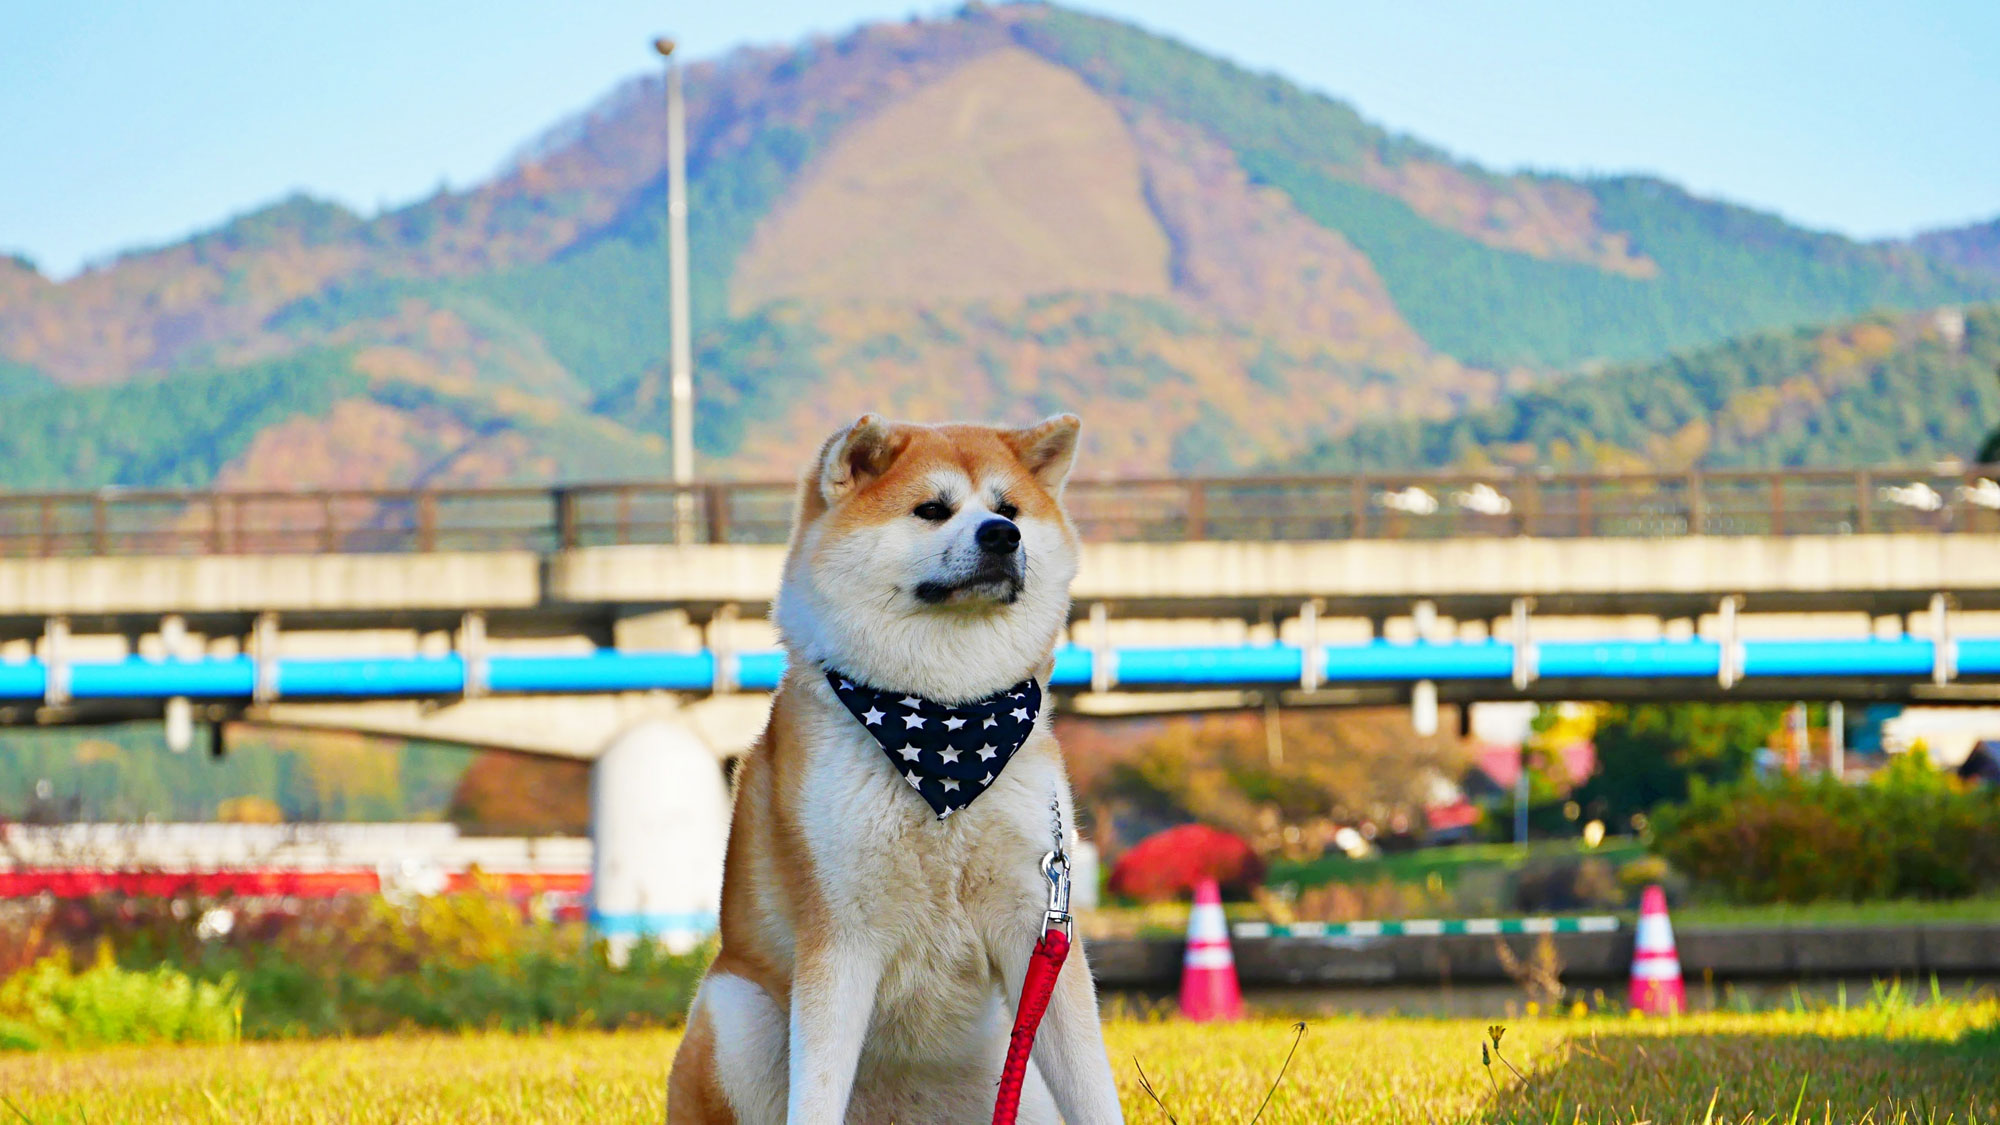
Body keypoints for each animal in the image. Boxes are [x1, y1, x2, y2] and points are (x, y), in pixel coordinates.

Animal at [668, 414, 1128, 1120]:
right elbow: (817, 1096)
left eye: (1009, 510)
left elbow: (1094, 1088)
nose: (1003, 536)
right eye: (932, 510)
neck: (949, 721)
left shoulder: (1039, 923)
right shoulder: (841, 935)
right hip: (736, 1011)